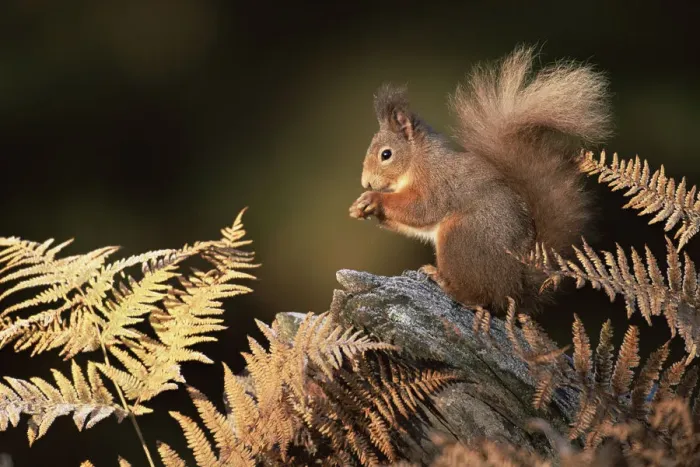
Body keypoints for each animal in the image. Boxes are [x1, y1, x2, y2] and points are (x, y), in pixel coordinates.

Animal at [349, 46, 611, 312]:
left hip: (462, 236)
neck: (418, 161)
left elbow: (421, 209)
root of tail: (514, 287)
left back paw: (443, 281)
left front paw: (373, 199)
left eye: (386, 154)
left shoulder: (437, 185)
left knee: (478, 298)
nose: (366, 183)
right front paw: (360, 206)